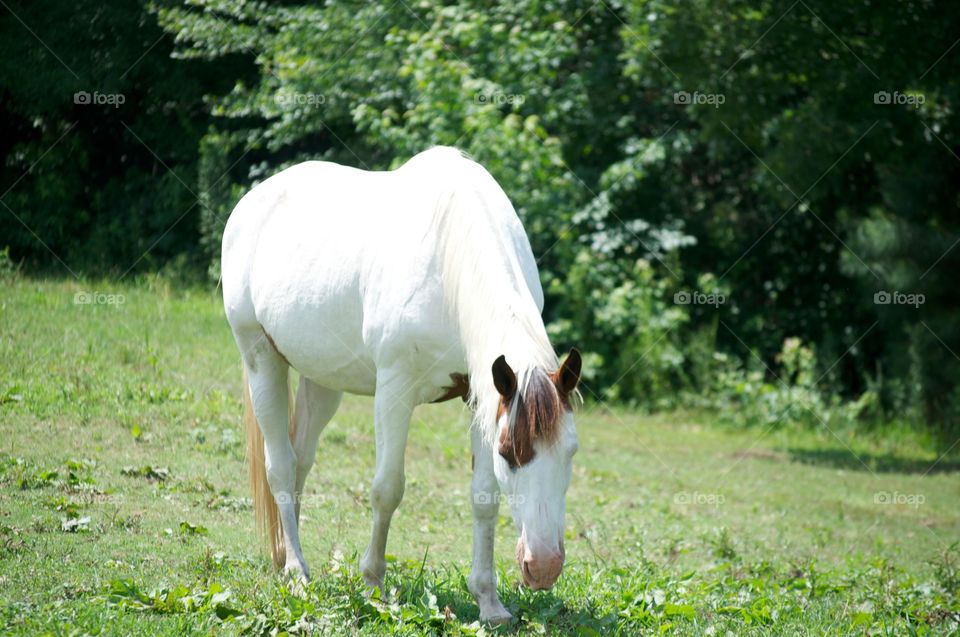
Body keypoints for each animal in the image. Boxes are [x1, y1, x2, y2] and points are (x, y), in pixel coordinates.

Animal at [223, 144, 584, 620]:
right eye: (508, 455)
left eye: (570, 452)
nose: (542, 568)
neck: (449, 253)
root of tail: (252, 202)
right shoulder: (394, 391)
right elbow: (387, 489)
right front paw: (374, 583)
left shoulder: (482, 395)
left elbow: (483, 498)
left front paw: (488, 601)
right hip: (261, 360)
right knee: (279, 466)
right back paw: (298, 572)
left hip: (323, 380)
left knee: (300, 460)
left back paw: (285, 556)